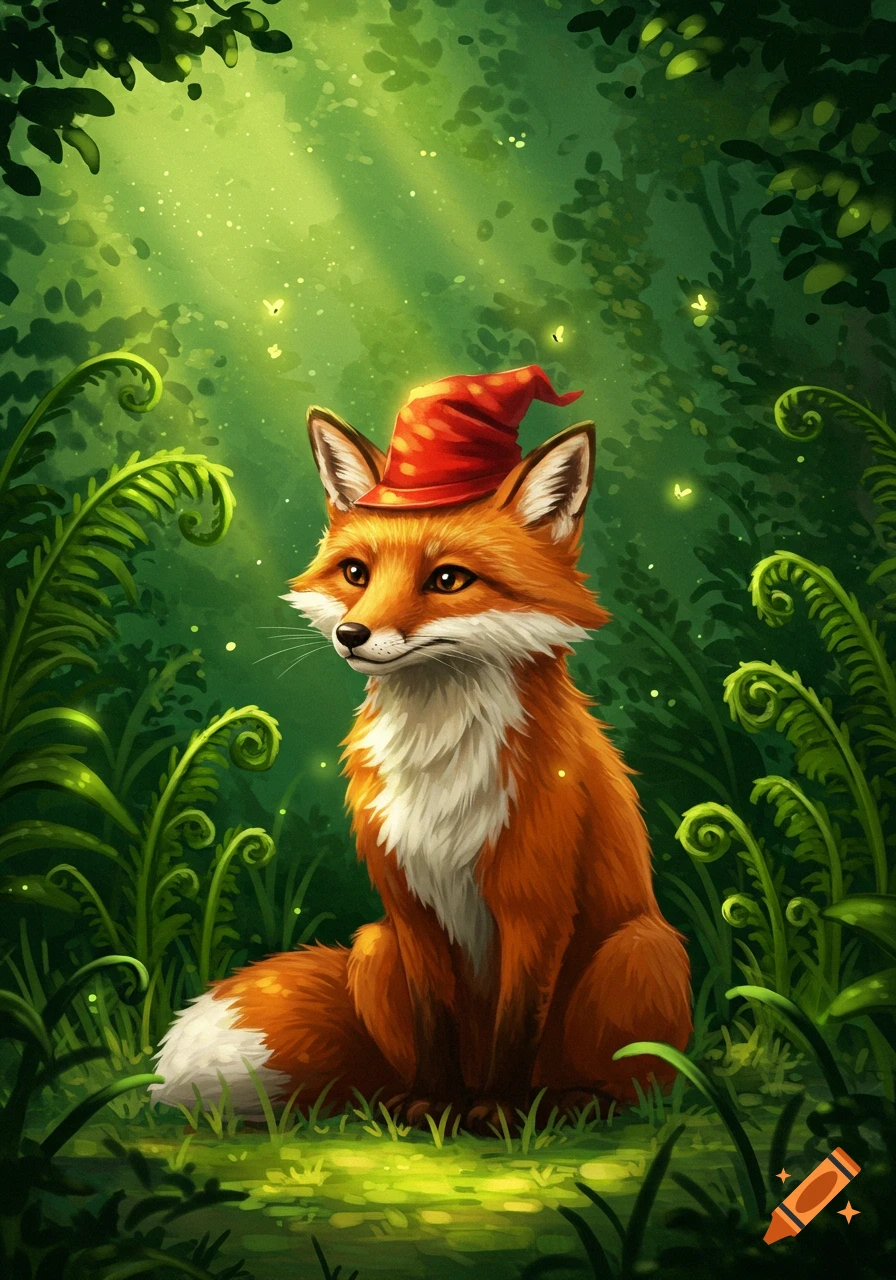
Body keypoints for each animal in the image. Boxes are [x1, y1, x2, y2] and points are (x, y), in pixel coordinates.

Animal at [151, 375, 692, 1130]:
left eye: (448, 580)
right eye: (355, 573)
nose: (351, 635)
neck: (441, 762)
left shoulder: (535, 907)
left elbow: (517, 1028)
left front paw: (500, 1111)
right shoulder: (410, 907)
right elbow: (436, 1023)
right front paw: (432, 1106)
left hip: (637, 952)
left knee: (631, 1083)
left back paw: (568, 1103)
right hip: (373, 947)